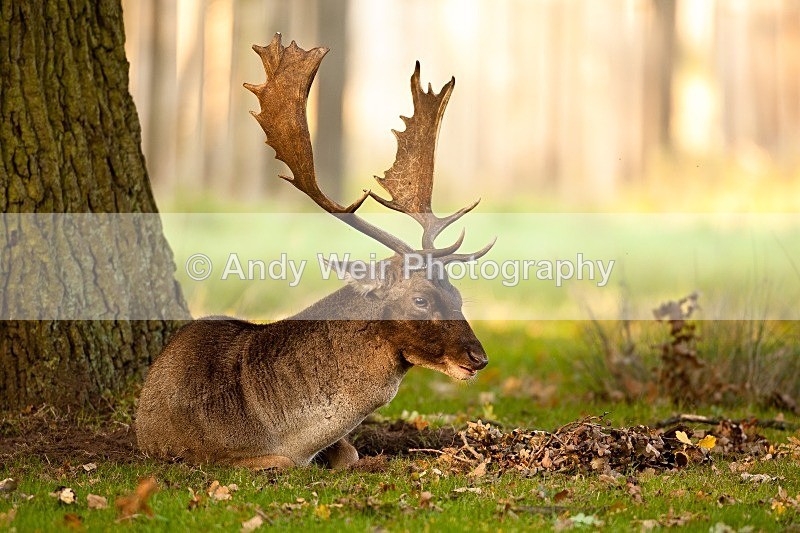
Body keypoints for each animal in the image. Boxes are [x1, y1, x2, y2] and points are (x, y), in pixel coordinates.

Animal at [135, 34, 494, 469]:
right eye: (421, 299)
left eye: (457, 295)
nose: (478, 358)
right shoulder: (208, 455)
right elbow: (285, 463)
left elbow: (351, 450)